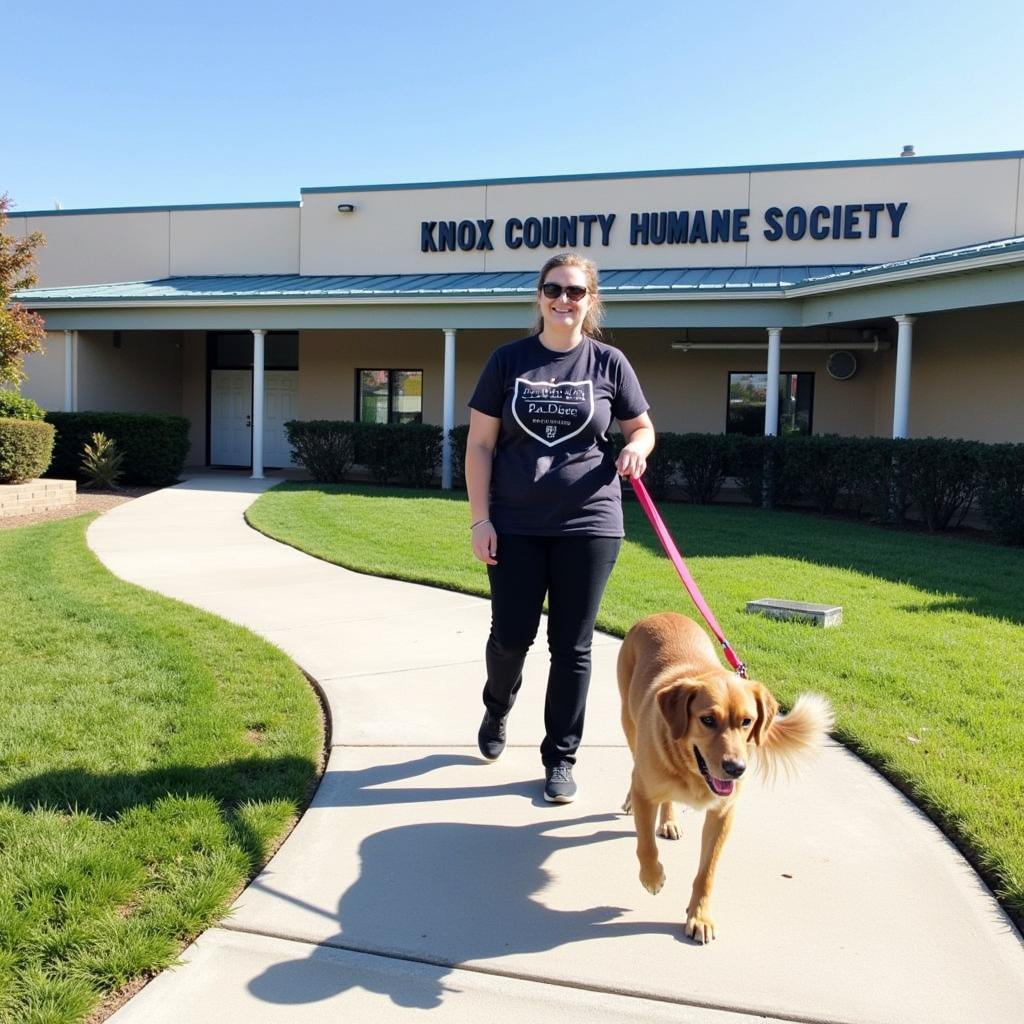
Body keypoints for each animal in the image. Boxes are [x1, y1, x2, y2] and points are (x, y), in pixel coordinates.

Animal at [614, 610, 831, 937]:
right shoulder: (645, 792)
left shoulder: (723, 813)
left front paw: (700, 916)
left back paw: (669, 821)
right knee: (633, 766)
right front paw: (652, 877)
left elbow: (708, 871)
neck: (690, 770)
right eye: (707, 720)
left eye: (747, 721)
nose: (736, 769)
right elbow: (646, 846)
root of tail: (661, 614)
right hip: (629, 722)